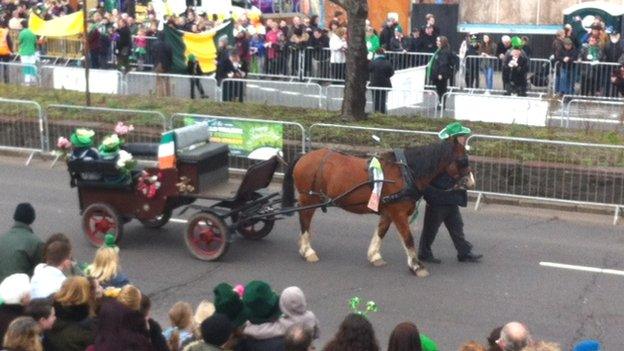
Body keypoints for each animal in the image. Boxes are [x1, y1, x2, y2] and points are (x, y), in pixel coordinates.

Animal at [280, 138, 476, 278]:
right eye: (463, 160)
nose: (472, 182)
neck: (405, 173)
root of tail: (304, 156)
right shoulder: (399, 213)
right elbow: (408, 238)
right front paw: (416, 265)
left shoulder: (388, 212)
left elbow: (380, 232)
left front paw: (374, 255)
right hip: (308, 198)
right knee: (305, 220)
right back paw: (307, 250)